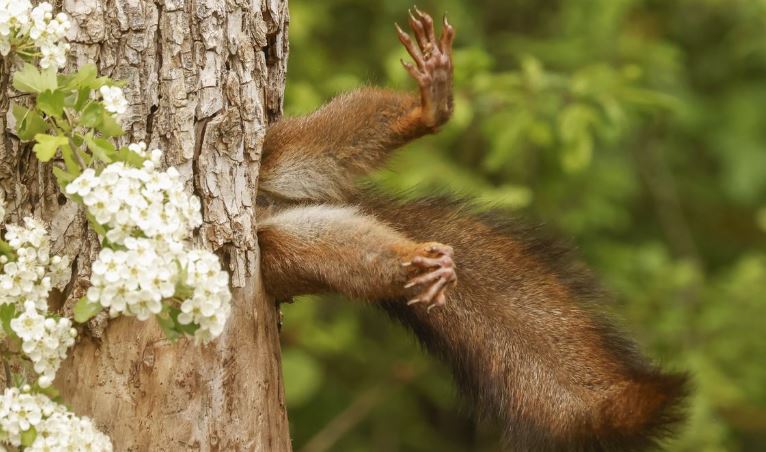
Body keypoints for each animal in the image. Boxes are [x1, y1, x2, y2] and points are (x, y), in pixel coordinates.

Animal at [256, 7, 688, 452]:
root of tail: (271, 205)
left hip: (281, 148)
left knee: (334, 135)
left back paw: (430, 107)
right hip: (283, 251)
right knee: (345, 255)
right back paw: (419, 263)